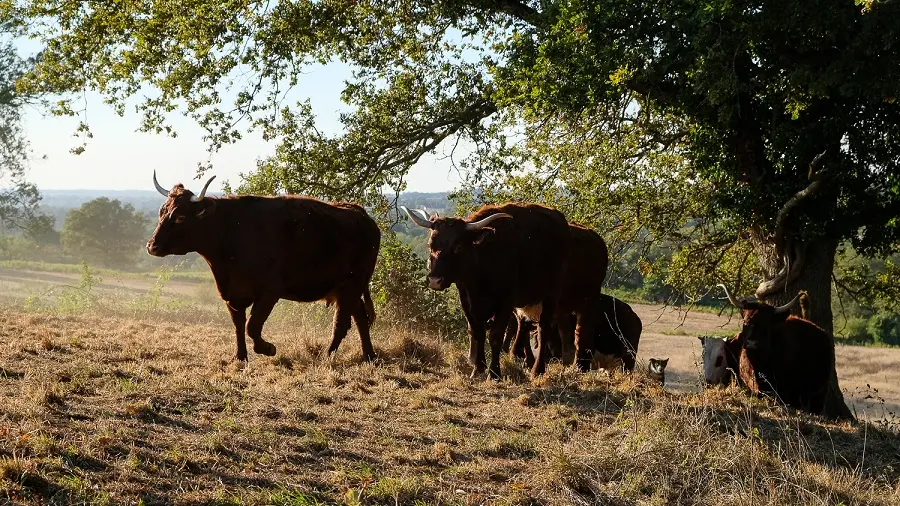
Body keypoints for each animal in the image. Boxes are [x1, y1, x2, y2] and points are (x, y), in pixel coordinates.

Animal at [145, 172, 384, 362]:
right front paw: (240, 356)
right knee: (359, 317)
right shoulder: (233, 294)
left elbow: (252, 326)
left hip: (352, 284)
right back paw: (368, 355)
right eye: (161, 212)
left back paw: (328, 355)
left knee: (342, 323)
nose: (152, 245)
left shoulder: (269, 292)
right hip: (347, 289)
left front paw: (268, 348)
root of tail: (361, 213)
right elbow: (239, 325)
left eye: (180, 217)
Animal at [400, 204, 568, 378]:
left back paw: (537, 369)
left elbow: (495, 336)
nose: (435, 280)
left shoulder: (505, 302)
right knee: (524, 324)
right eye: (430, 245)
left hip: (551, 295)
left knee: (543, 328)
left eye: (458, 247)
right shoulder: (466, 300)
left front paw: (494, 373)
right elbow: (477, 332)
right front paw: (478, 369)